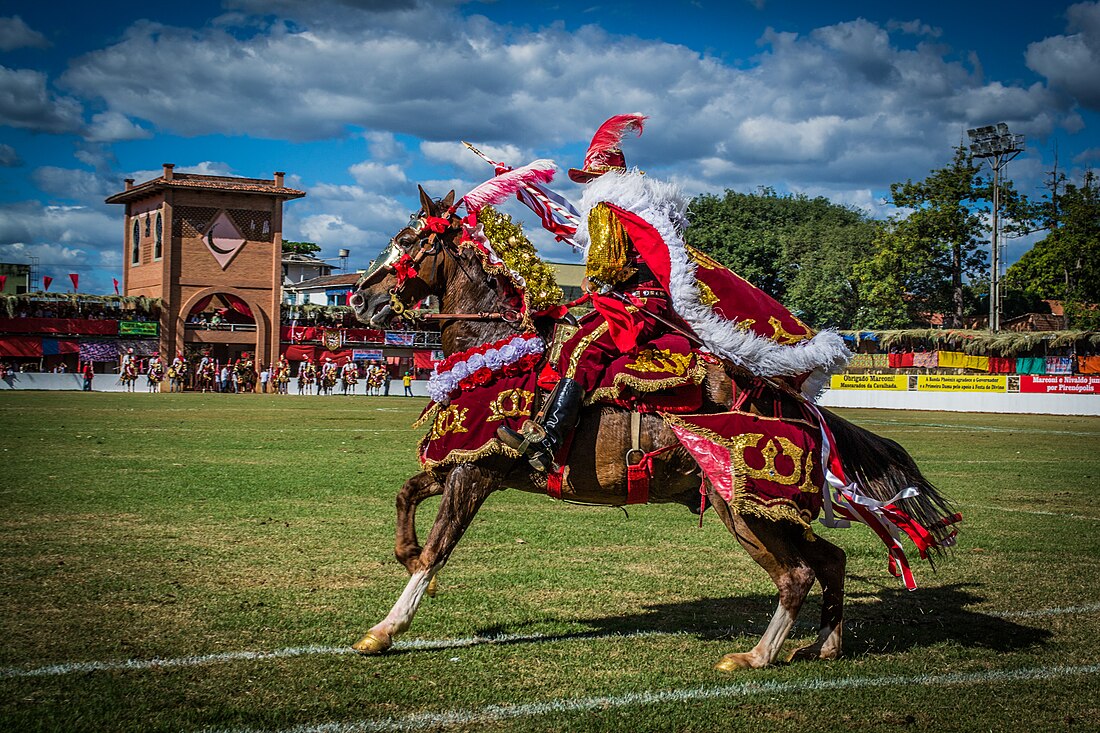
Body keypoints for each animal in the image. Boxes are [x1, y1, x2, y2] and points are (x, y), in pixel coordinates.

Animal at [347, 187, 959, 669]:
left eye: (409, 240)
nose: (360, 300)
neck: (496, 353)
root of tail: (793, 403)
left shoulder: (475, 473)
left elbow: (438, 548)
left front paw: (385, 629)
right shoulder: (464, 463)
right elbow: (406, 499)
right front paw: (407, 562)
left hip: (744, 507)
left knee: (796, 576)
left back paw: (756, 655)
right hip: (772, 512)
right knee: (830, 560)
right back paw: (823, 646)